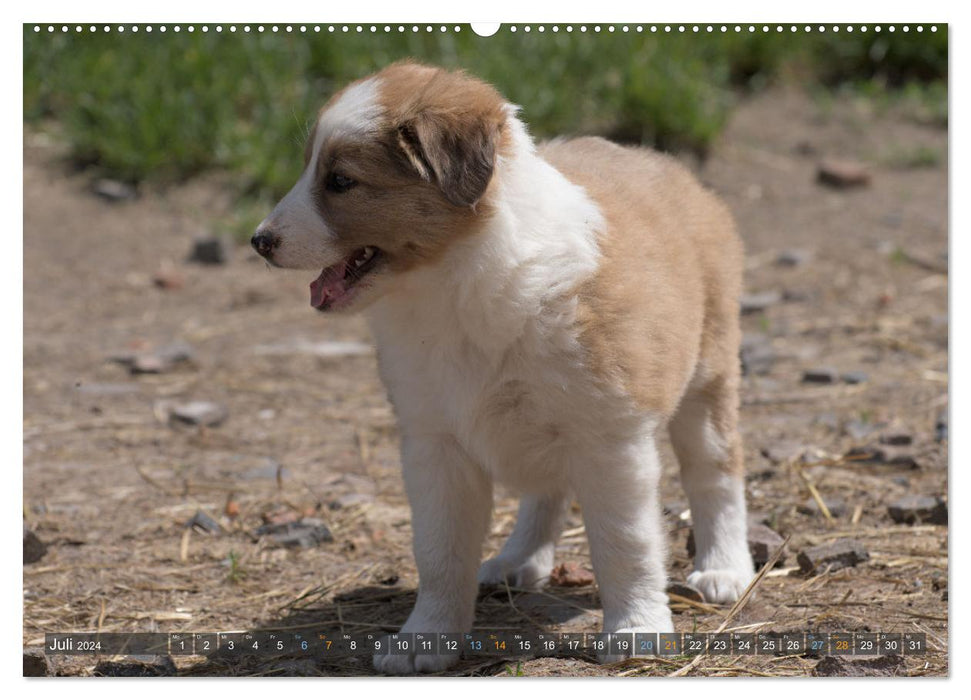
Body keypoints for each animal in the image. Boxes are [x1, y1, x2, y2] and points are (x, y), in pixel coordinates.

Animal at [254, 63, 756, 676]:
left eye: (341, 181)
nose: (259, 241)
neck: (452, 288)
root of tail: (669, 167)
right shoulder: (434, 443)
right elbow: (439, 552)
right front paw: (426, 637)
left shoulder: (609, 437)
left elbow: (626, 543)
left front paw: (636, 629)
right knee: (547, 490)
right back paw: (518, 559)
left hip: (707, 378)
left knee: (716, 473)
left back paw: (725, 568)